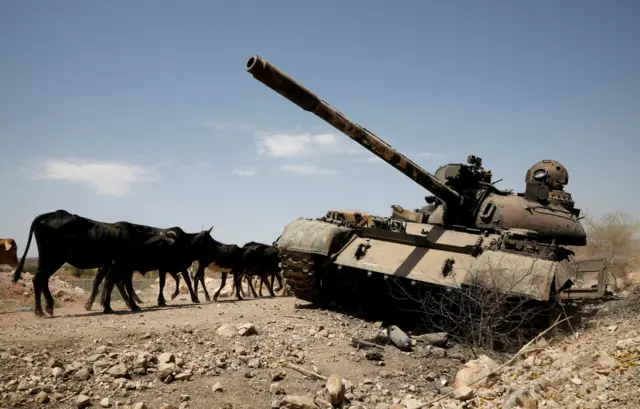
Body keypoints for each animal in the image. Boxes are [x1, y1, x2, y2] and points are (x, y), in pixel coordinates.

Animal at [11, 210, 188, 316]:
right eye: (166, 245)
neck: (134, 238)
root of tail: (51, 214)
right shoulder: (121, 266)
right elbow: (117, 284)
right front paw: (125, 305)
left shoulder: (119, 267)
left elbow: (112, 284)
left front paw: (109, 306)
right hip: (53, 259)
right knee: (38, 279)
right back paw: (40, 311)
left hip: (48, 260)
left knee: (42, 280)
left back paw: (48, 307)